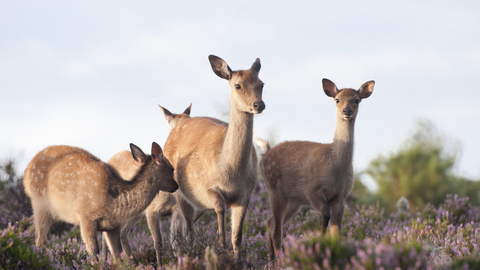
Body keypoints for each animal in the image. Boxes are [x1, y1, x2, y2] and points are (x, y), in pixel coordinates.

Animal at [22, 141, 178, 262]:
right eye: (172, 169)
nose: (176, 186)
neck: (113, 203)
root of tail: (26, 171)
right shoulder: (85, 216)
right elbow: (93, 251)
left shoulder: (112, 226)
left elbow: (117, 254)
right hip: (39, 203)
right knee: (41, 242)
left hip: (53, 213)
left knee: (32, 234)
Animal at [101, 103, 193, 266]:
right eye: (173, 125)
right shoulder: (151, 210)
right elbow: (158, 242)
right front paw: (160, 265)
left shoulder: (176, 209)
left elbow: (176, 241)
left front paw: (180, 262)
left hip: (133, 213)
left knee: (123, 232)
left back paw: (132, 262)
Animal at [163, 54, 264, 253]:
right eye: (238, 85)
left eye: (262, 84)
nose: (259, 104)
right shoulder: (209, 188)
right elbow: (220, 216)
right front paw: (221, 249)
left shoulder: (246, 194)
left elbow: (237, 237)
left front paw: (237, 256)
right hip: (179, 192)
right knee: (187, 228)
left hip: (198, 204)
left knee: (186, 227)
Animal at [255, 78, 376, 262]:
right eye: (337, 100)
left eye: (356, 100)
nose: (346, 111)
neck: (335, 168)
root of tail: (265, 153)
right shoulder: (312, 190)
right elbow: (325, 213)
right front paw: (320, 238)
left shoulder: (340, 197)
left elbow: (337, 232)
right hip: (274, 189)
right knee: (276, 229)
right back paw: (278, 260)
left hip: (293, 201)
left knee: (270, 223)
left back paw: (270, 260)